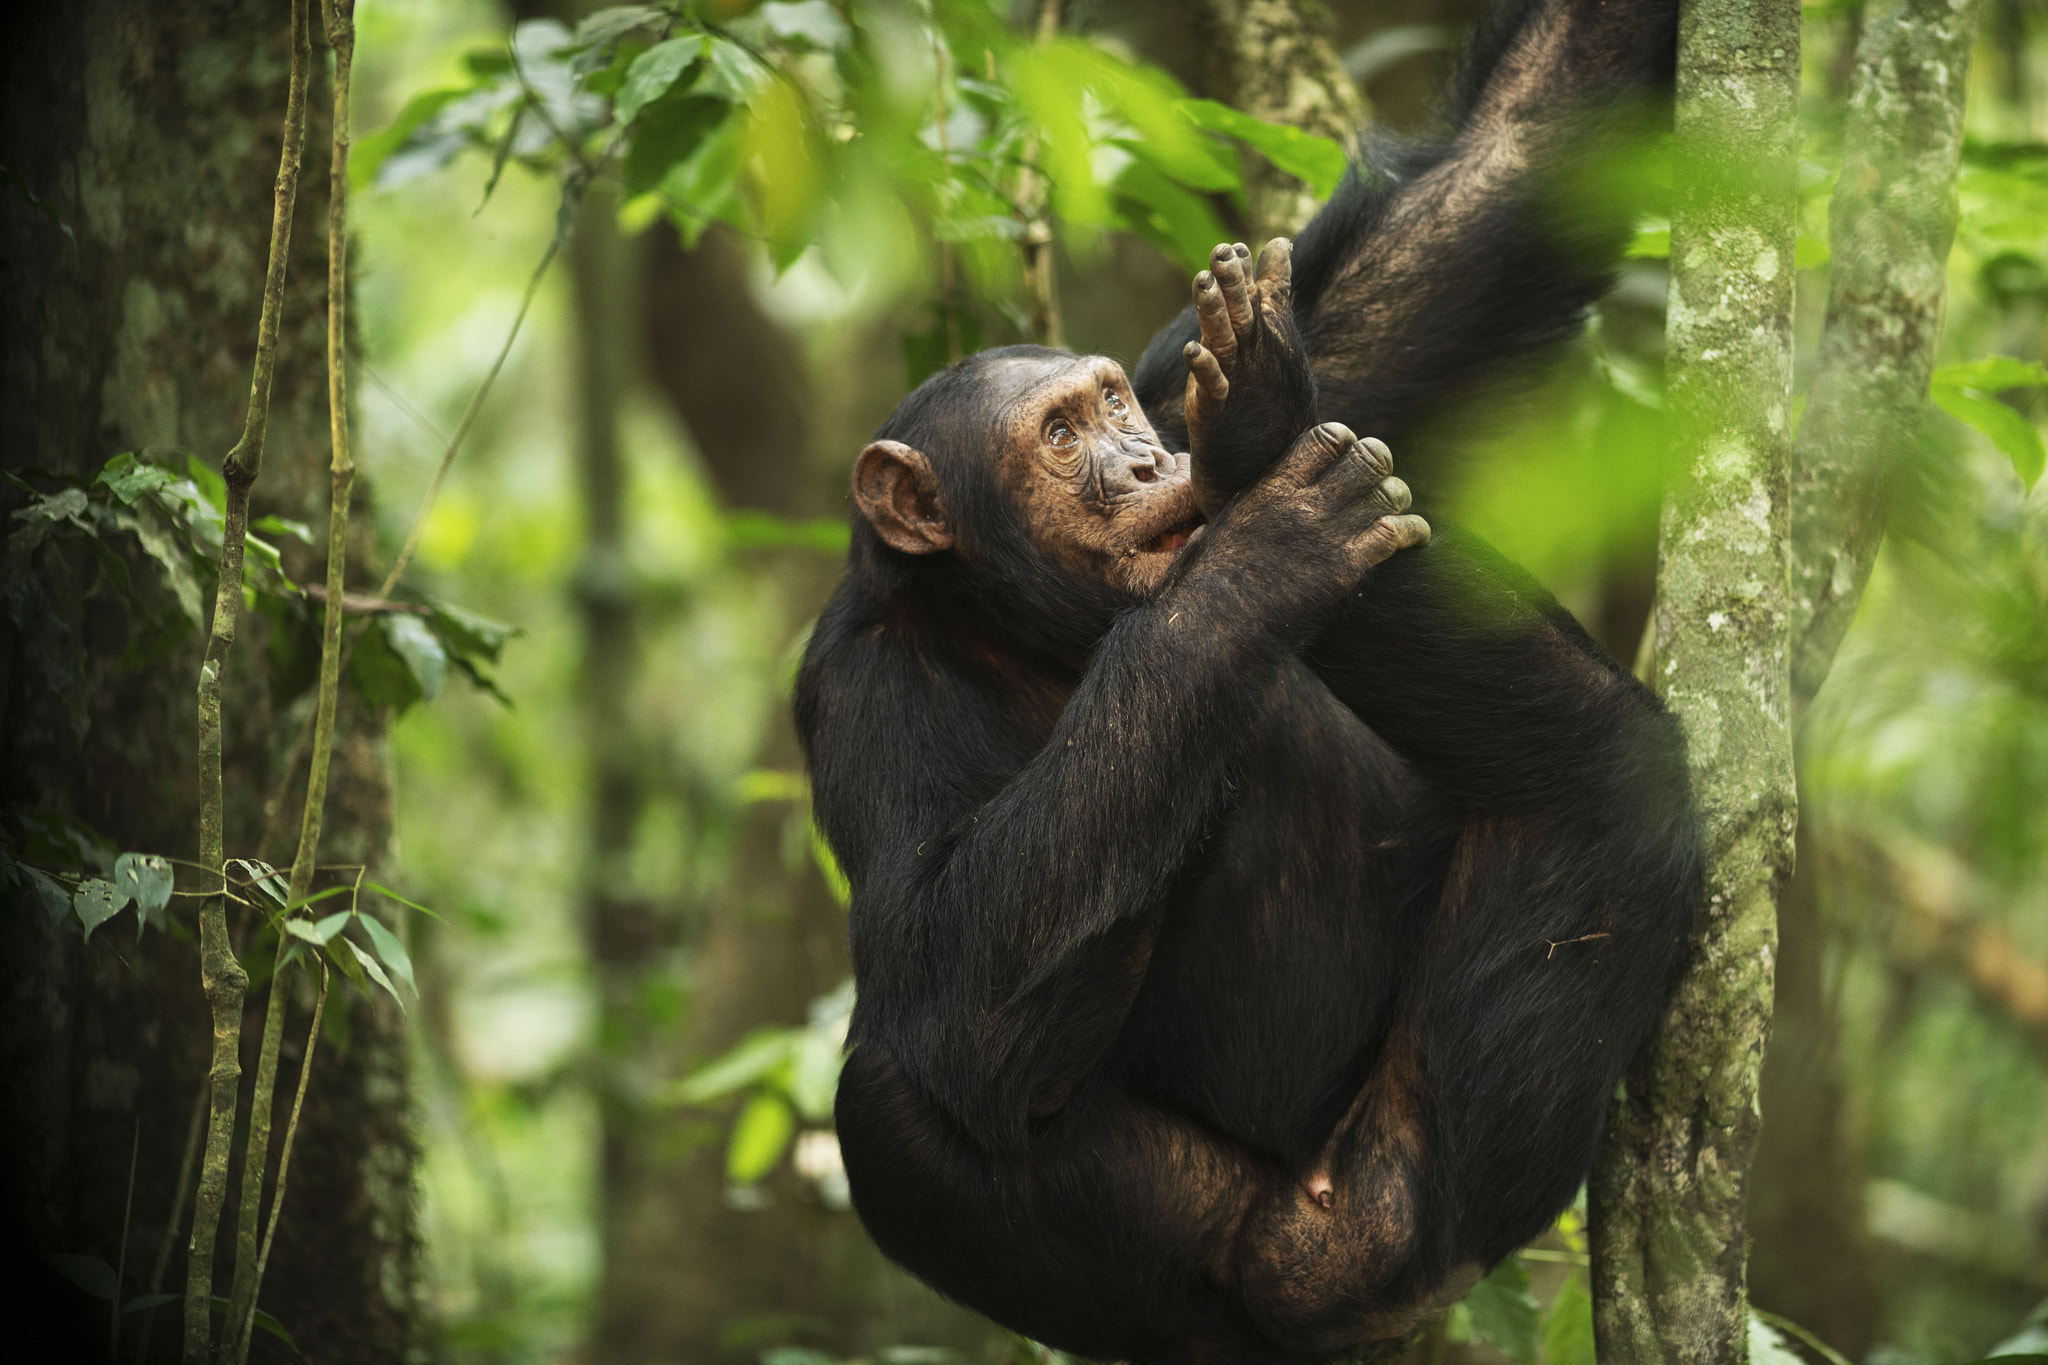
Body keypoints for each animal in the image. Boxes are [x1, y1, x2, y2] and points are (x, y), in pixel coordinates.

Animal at [790, 0, 1703, 1358]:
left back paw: (1261, 440)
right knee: (895, 1100)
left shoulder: (1205, 378)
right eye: (1055, 438)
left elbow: (1512, 161)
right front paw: (1256, 561)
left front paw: (1261, 409)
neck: (1032, 623)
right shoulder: (857, 697)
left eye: (1111, 404)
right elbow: (951, 990)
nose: (1138, 464)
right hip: (1287, 1233)